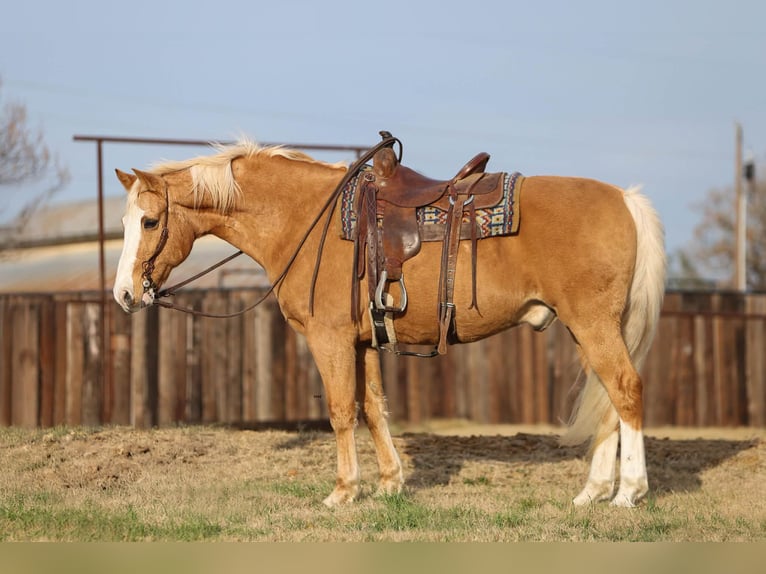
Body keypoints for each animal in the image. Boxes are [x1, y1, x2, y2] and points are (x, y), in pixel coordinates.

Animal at [113, 137, 665, 508]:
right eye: (124, 221)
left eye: (150, 221)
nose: (124, 294)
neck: (304, 218)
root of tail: (625, 198)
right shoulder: (364, 342)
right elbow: (374, 407)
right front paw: (389, 483)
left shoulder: (330, 338)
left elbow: (341, 411)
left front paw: (343, 491)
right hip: (585, 329)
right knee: (606, 399)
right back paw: (593, 492)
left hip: (593, 325)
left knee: (626, 389)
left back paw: (629, 492)